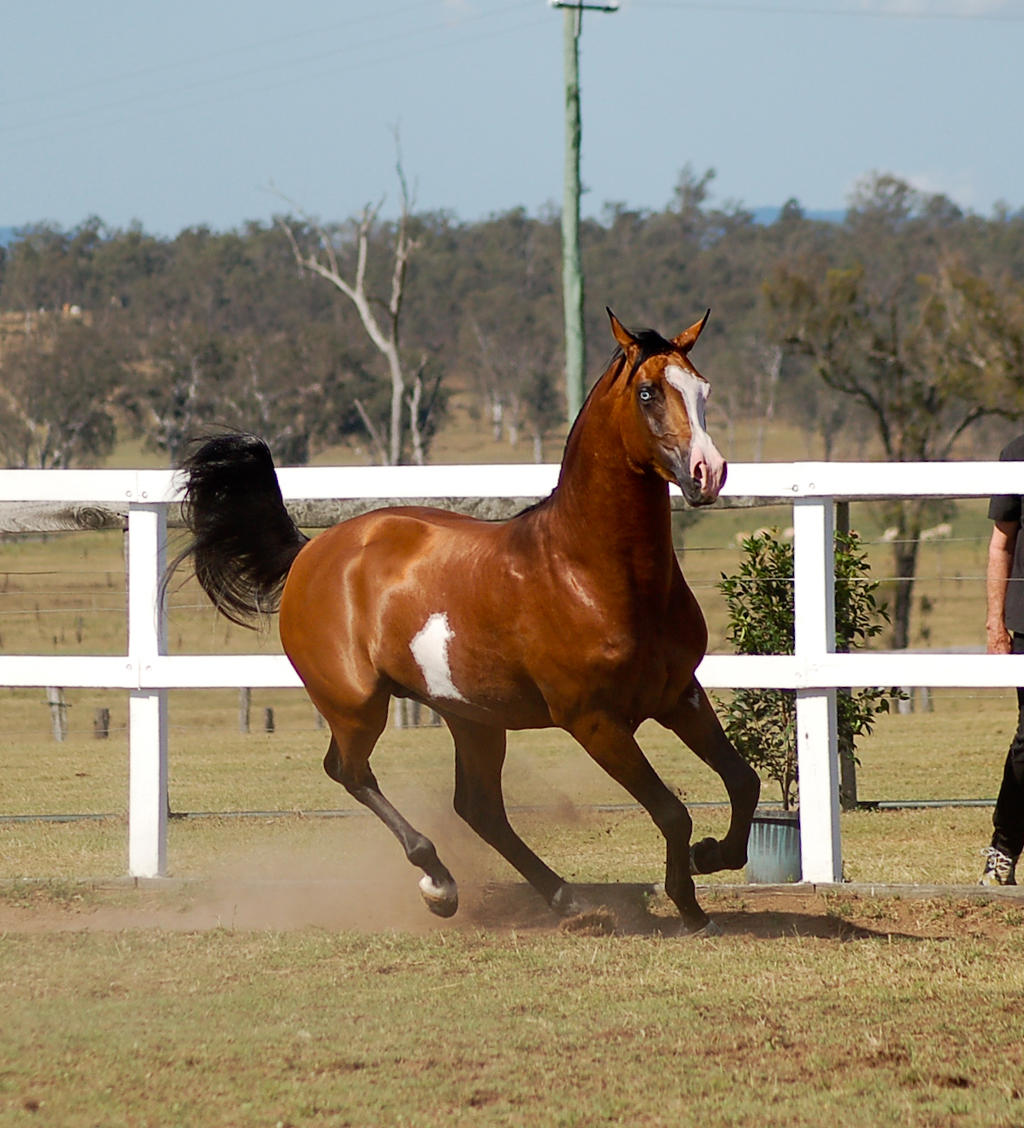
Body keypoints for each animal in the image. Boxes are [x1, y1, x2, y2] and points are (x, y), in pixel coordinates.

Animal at [170, 311, 757, 933]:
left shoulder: (679, 694)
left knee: (478, 807)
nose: (708, 473)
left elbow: (743, 782)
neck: (590, 572)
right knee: (350, 773)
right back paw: (440, 883)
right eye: (647, 392)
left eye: (702, 389)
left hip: (472, 717)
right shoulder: (594, 721)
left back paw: (566, 897)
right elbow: (671, 811)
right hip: (356, 705)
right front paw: (689, 902)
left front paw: (712, 857)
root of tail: (311, 552)